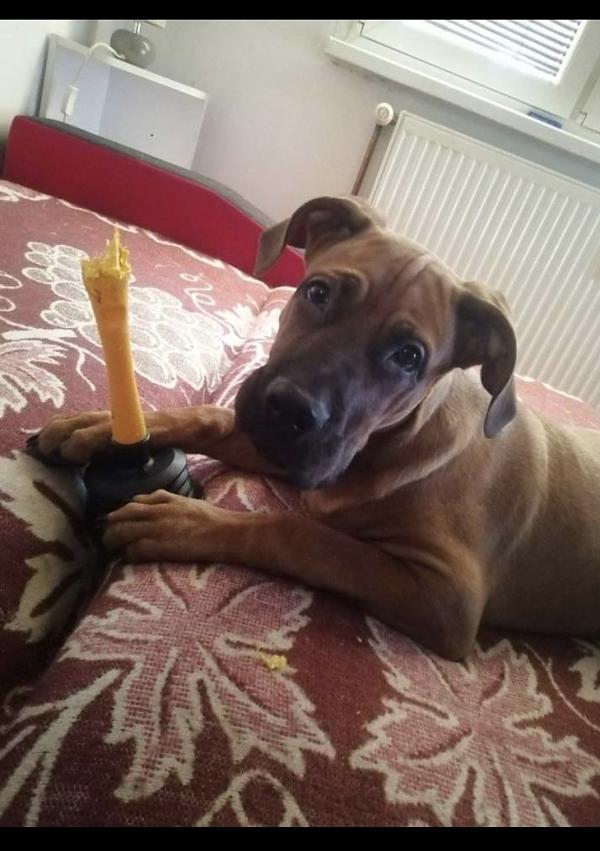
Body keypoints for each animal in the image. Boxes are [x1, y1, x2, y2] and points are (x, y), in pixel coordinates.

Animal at [30, 196, 600, 660]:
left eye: (410, 356)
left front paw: (184, 521)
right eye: (317, 292)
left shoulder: (447, 597)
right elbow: (207, 417)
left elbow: (302, 535)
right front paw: (96, 426)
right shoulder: (287, 449)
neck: (397, 442)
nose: (290, 410)